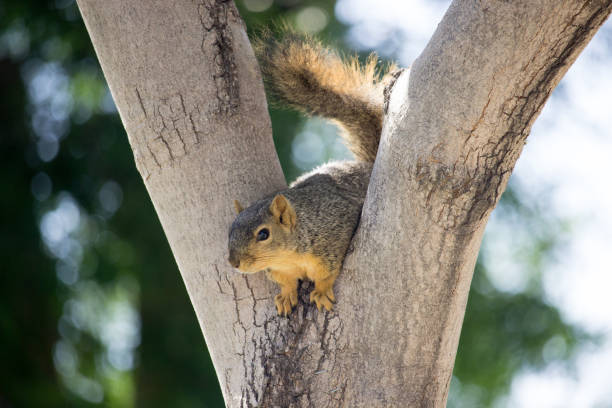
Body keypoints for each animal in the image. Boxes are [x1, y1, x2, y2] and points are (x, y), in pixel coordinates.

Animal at [227, 30, 394, 316]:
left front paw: (322, 291)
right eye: (230, 230)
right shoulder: (280, 270)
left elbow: (327, 273)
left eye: (263, 234)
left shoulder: (334, 234)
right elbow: (286, 282)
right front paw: (286, 295)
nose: (234, 262)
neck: (289, 255)